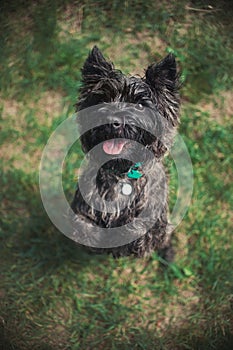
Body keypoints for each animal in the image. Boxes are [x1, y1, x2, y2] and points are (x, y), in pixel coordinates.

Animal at [71, 46, 180, 258]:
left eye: (140, 105)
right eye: (103, 98)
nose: (113, 121)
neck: (121, 174)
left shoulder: (152, 223)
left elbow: (142, 231)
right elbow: (83, 224)